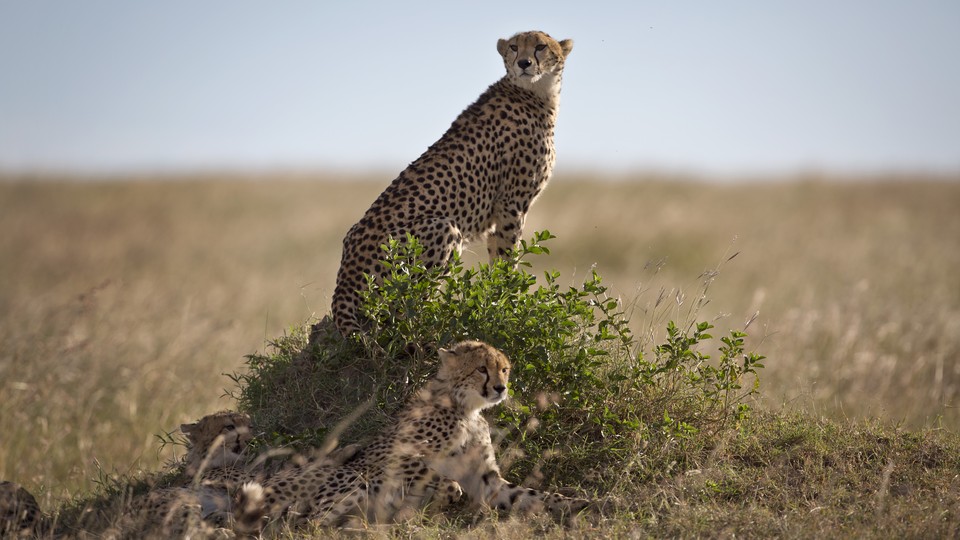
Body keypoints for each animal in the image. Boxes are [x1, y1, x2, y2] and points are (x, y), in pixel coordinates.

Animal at [236, 342, 588, 532]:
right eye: (481, 369)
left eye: (504, 369)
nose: (501, 388)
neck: (465, 408)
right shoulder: (393, 458)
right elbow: (445, 480)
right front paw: (447, 497)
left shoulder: (488, 481)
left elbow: (529, 495)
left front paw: (580, 504)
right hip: (350, 479)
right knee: (308, 523)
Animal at [330, 31, 572, 336]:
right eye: (515, 47)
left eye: (541, 46)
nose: (525, 63)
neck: (537, 92)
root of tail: (345, 276)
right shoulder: (511, 205)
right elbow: (508, 258)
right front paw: (509, 303)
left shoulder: (498, 214)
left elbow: (496, 257)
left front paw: (496, 299)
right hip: (443, 229)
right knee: (402, 307)